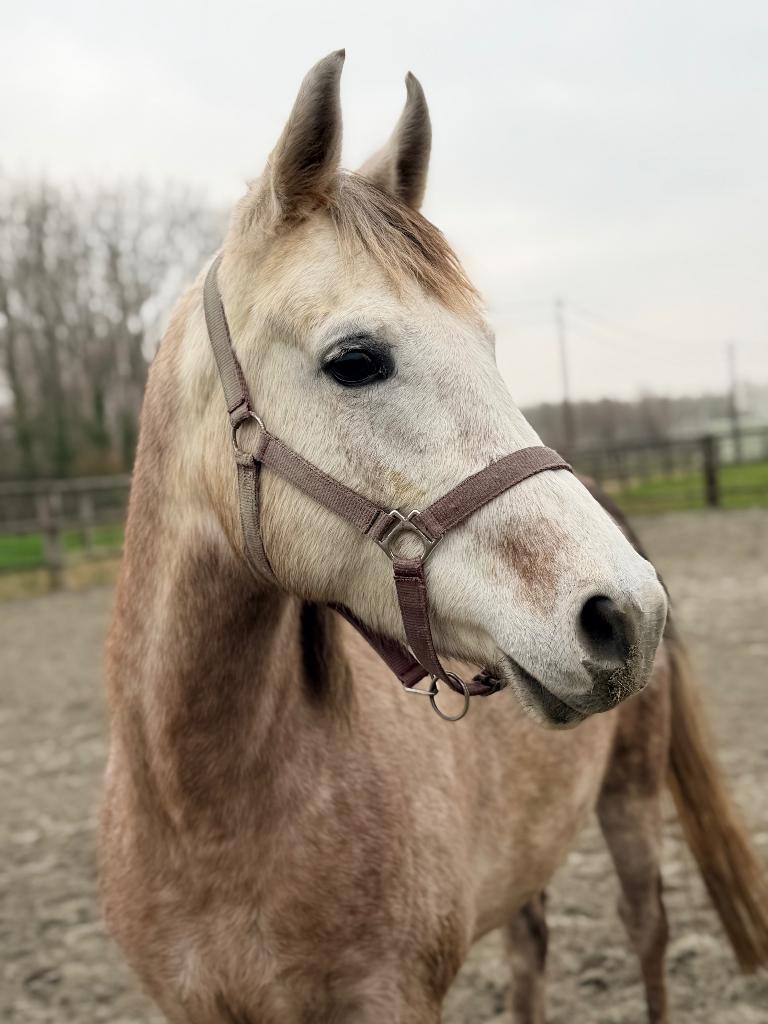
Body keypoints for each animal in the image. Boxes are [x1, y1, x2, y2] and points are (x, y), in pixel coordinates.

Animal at [101, 51, 768, 1023]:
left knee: (646, 931)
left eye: (489, 347)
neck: (204, 810)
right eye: (355, 360)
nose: (628, 613)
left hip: (632, 800)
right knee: (532, 948)